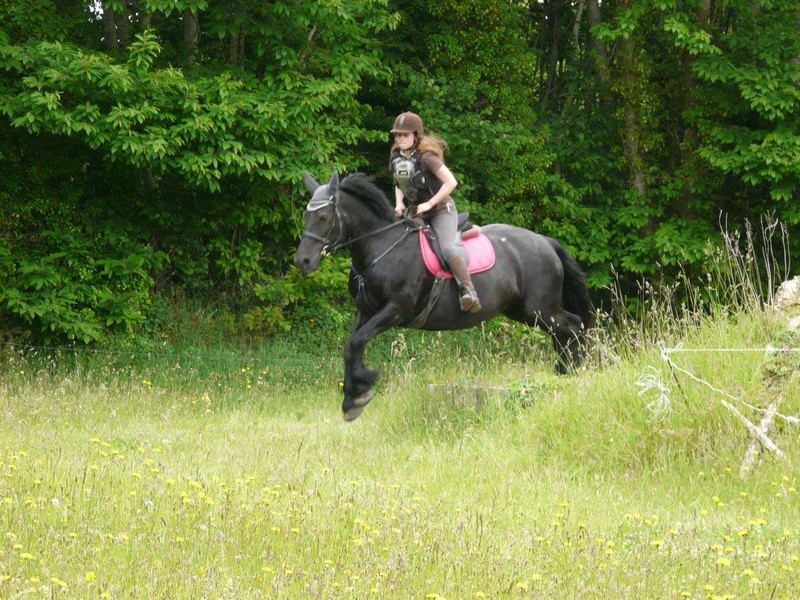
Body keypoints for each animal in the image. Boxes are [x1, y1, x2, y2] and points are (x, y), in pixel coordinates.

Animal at [294, 172, 596, 421]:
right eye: (306, 217)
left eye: (323, 217)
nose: (303, 261)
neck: (382, 246)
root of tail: (546, 242)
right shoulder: (366, 310)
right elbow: (351, 346)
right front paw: (352, 400)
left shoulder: (396, 310)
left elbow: (356, 342)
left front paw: (362, 388)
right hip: (522, 310)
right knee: (564, 332)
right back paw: (562, 373)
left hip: (538, 308)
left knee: (573, 326)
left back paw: (571, 372)